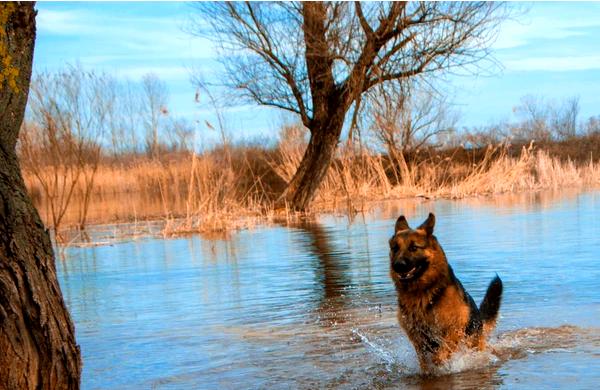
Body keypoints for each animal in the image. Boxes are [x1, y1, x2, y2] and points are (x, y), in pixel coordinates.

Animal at [390, 213, 502, 372]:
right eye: (395, 248)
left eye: (414, 247)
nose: (398, 266)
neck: (423, 292)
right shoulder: (417, 337)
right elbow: (424, 359)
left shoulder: (454, 327)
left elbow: (442, 352)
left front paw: (441, 362)